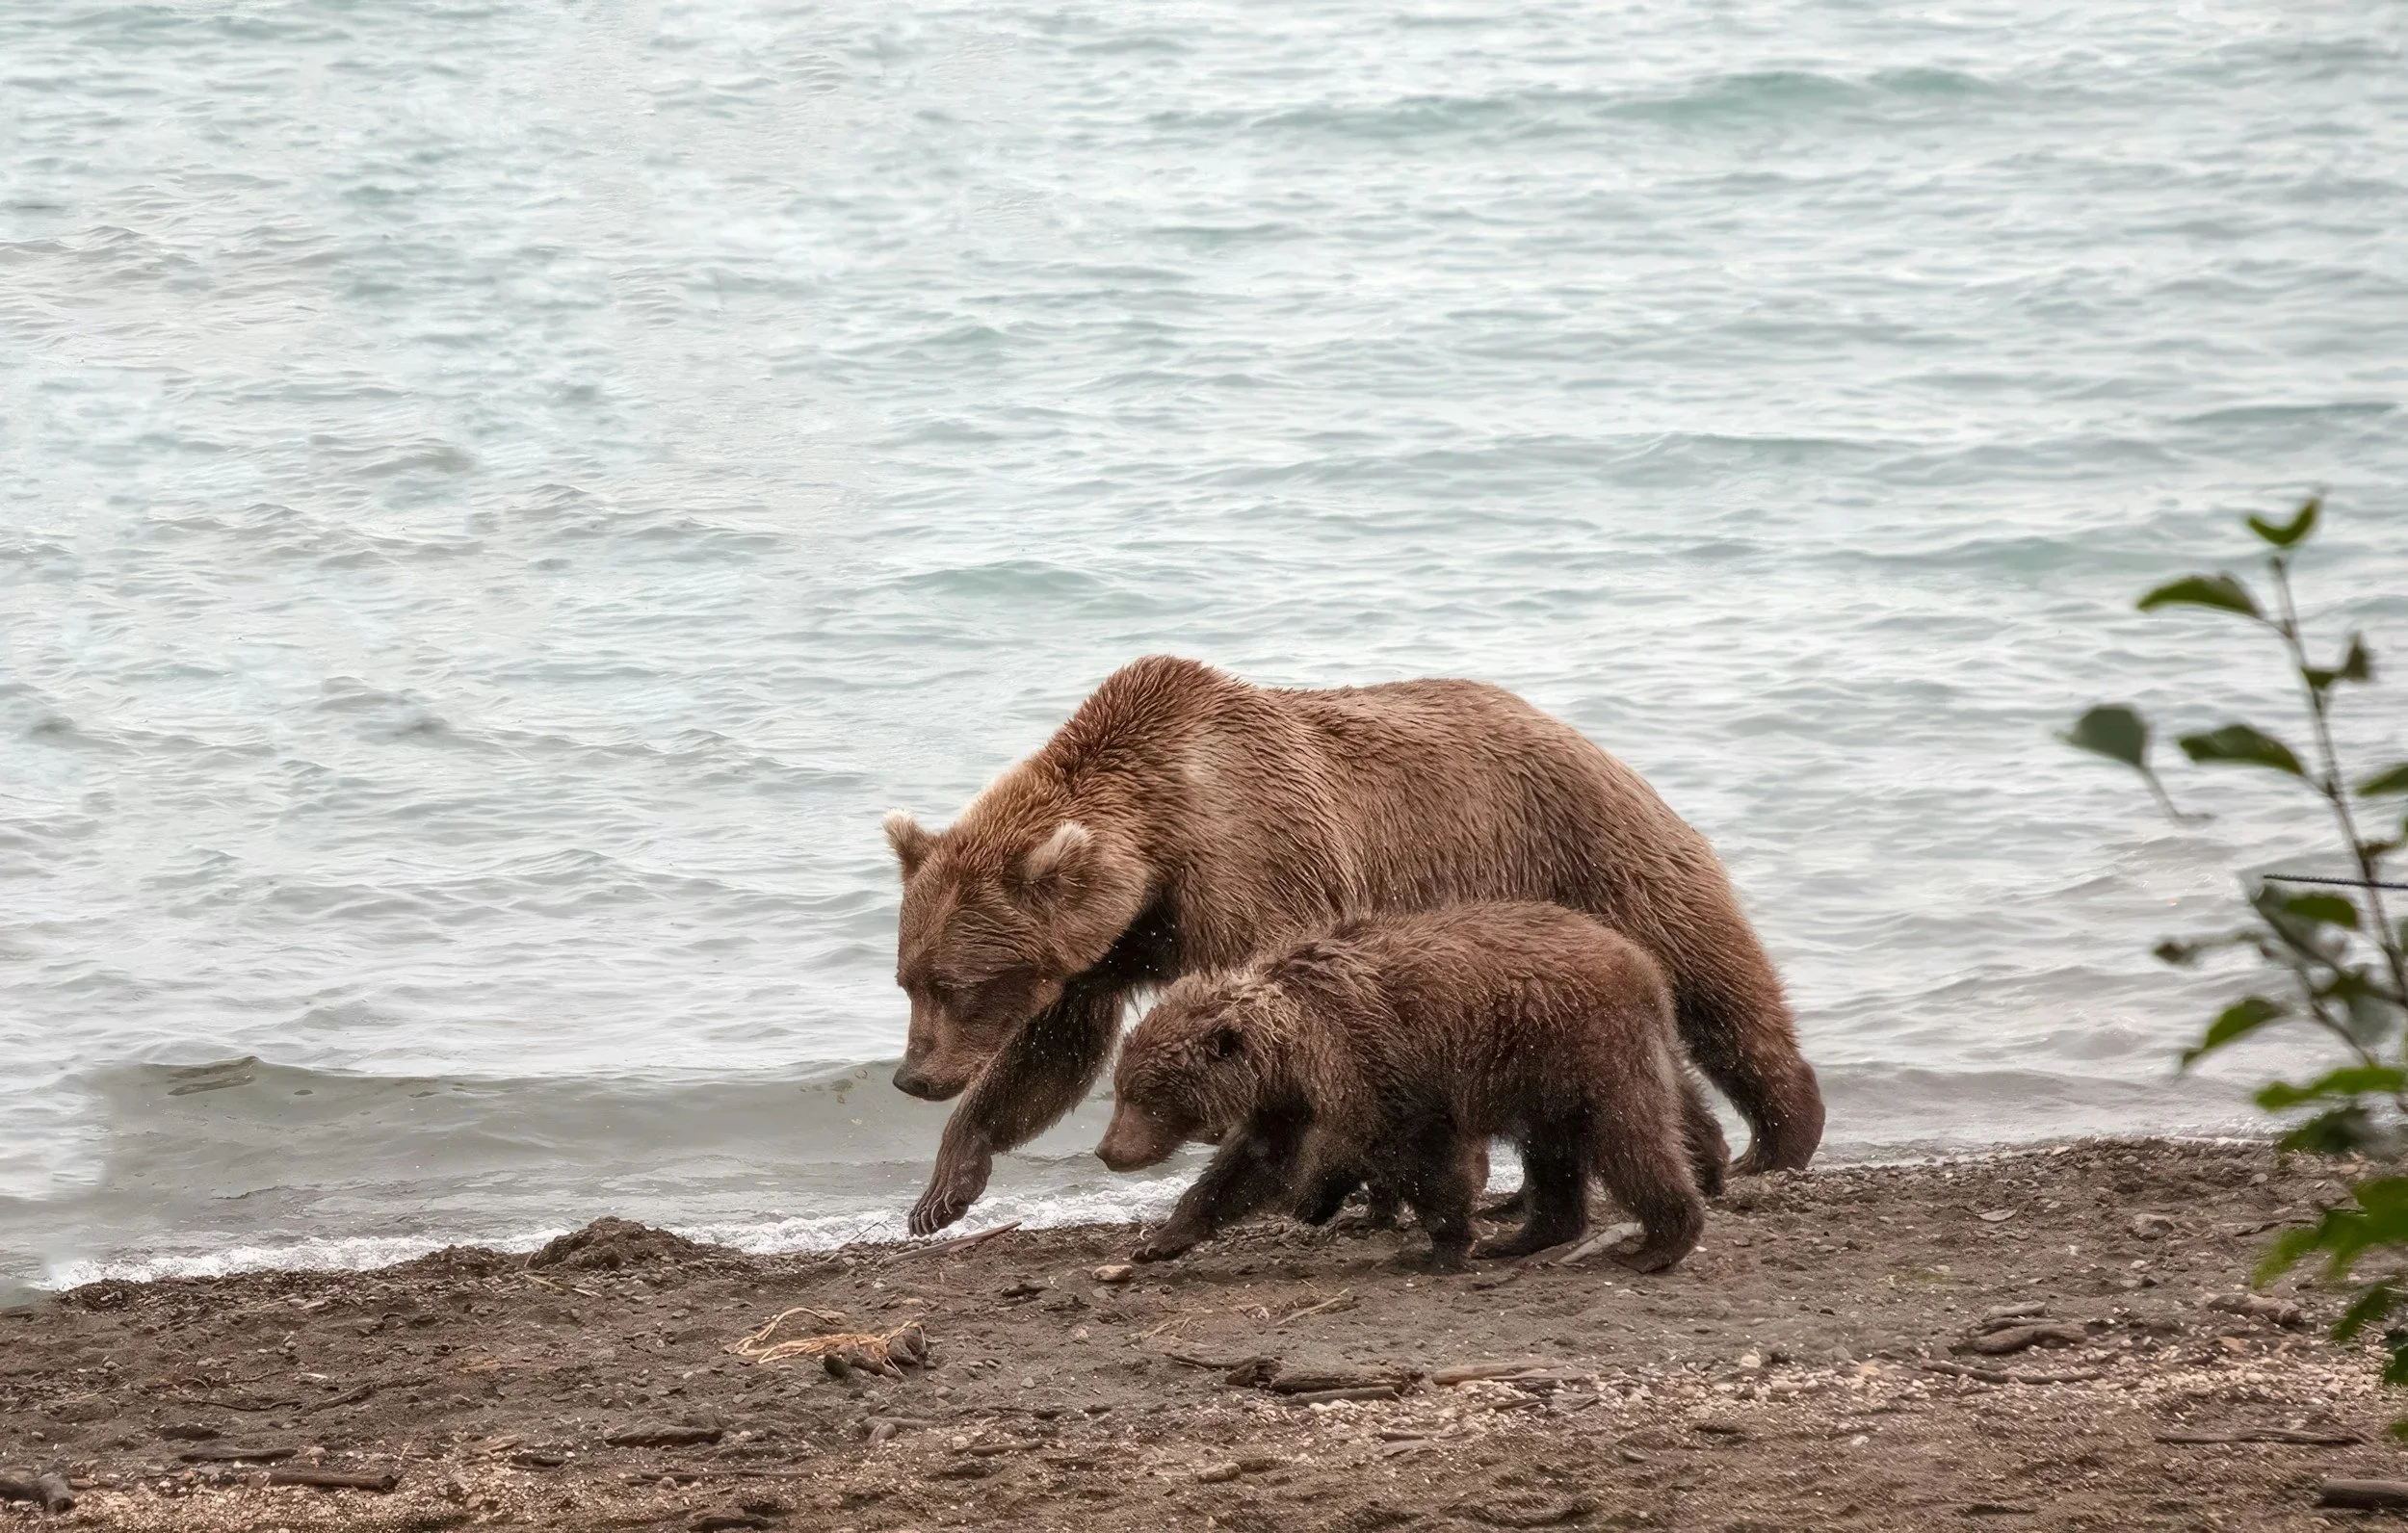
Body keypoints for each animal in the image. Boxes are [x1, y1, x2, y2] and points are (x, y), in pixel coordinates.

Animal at [884, 654, 1817, 1234]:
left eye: (956, 984)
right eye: (910, 979)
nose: (912, 1077)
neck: (1159, 846)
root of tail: (1587, 739)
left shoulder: (1258, 867)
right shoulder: (1107, 949)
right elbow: (1054, 1050)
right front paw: (944, 1187)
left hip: (1587, 852)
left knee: (1710, 976)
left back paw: (1780, 1135)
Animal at [1093, 903, 1715, 1273]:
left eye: (1147, 1096)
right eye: (1122, 1089)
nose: (1106, 1150)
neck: (1293, 1049)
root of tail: (1643, 963)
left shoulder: (1382, 1067)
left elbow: (1422, 1156)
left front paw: (1445, 1242)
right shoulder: (1290, 1101)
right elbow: (1247, 1167)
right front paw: (1163, 1238)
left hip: (1586, 1048)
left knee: (1629, 1137)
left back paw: (1662, 1242)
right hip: (1543, 1075)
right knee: (1552, 1153)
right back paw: (1526, 1236)